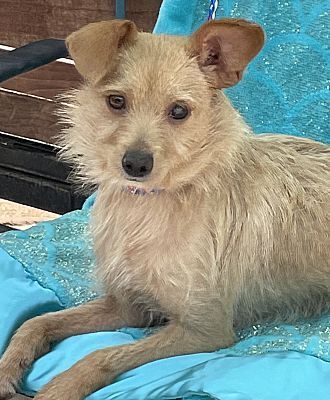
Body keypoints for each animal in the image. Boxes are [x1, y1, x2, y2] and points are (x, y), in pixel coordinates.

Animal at [0, 18, 330, 400]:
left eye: (179, 111)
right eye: (116, 101)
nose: (136, 164)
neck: (151, 203)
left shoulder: (206, 330)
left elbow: (102, 354)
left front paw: (62, 386)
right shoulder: (127, 305)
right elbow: (37, 321)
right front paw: (8, 367)